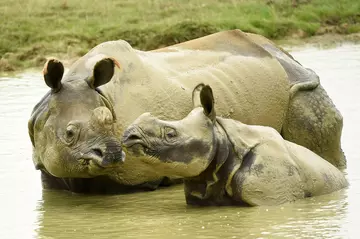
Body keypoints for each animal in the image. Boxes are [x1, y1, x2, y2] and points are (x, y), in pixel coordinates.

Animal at [27, 29, 344, 194]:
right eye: (69, 133)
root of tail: (283, 53)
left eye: (111, 122)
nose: (114, 154)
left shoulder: (144, 179)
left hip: (300, 88)